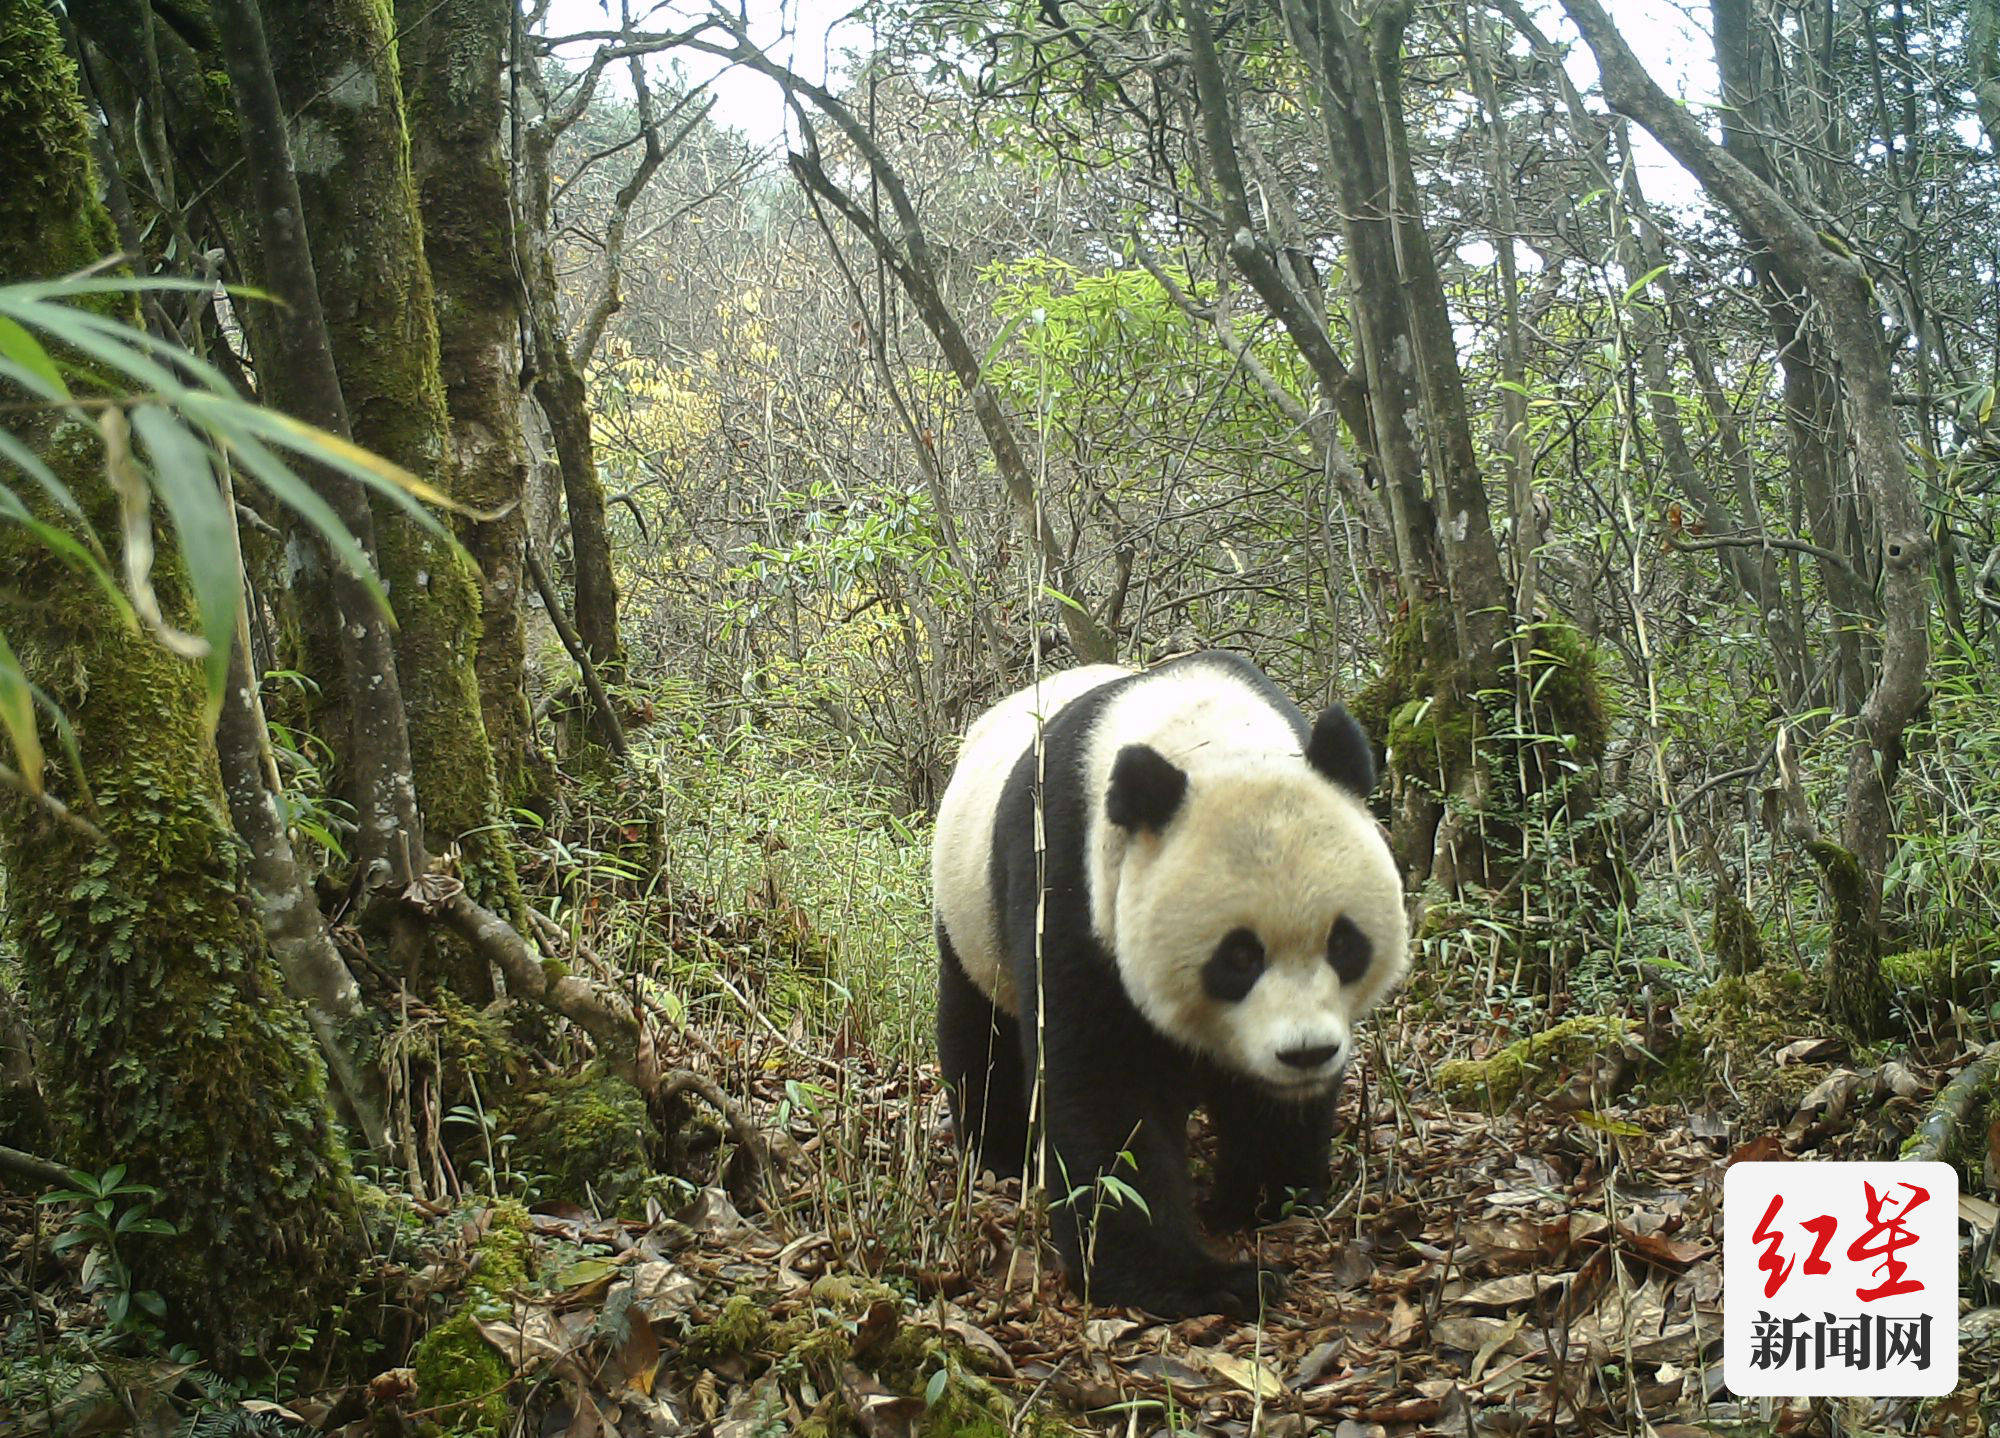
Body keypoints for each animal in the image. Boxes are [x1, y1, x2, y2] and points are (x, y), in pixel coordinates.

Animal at [932, 648, 1408, 1320]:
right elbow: (1105, 1092)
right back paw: (998, 1156)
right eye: (1238, 957)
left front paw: (1263, 1199)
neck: (1213, 739)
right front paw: (1200, 1279)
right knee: (979, 1030)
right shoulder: (1070, 886)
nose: (1307, 1052)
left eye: (1344, 943)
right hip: (968, 910)